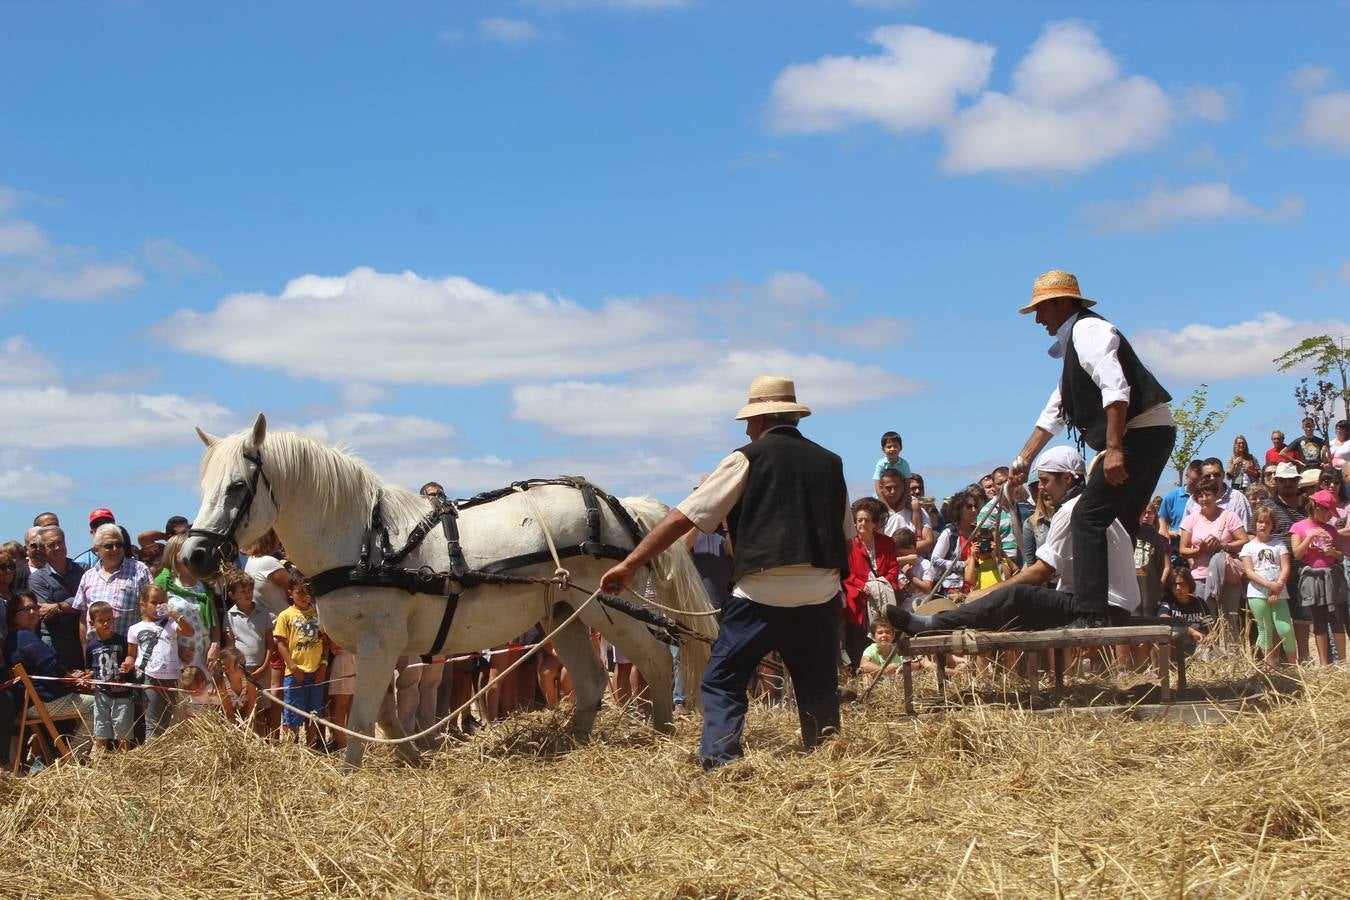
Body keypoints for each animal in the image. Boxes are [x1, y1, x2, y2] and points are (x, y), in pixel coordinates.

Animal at [184, 415, 723, 766]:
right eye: (203, 488)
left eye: (237, 487)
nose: (195, 555)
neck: (365, 541)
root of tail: (621, 507)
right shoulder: (380, 649)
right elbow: (384, 711)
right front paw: (410, 758)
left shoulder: (378, 644)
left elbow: (362, 716)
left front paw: (353, 772)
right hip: (563, 612)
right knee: (592, 681)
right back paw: (571, 744)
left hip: (611, 606)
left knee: (655, 659)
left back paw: (661, 734)